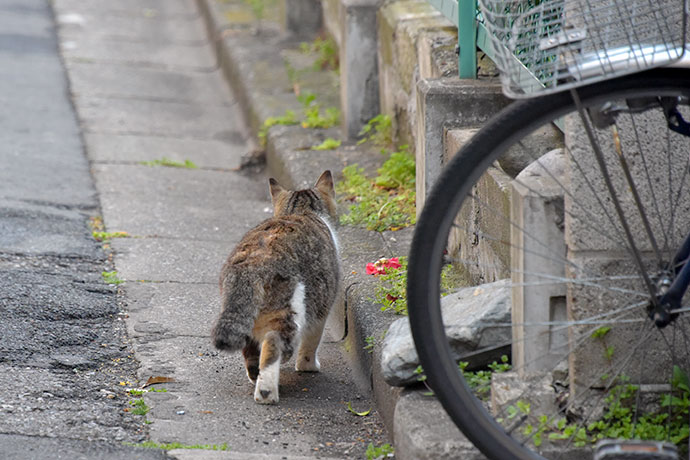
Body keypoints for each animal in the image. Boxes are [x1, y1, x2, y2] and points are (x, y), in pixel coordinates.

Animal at [210, 171, 338, 404]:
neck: (302, 210)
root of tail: (253, 262)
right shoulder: (322, 308)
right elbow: (312, 342)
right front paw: (308, 366)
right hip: (290, 313)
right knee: (272, 345)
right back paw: (266, 392)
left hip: (246, 313)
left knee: (250, 348)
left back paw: (255, 376)